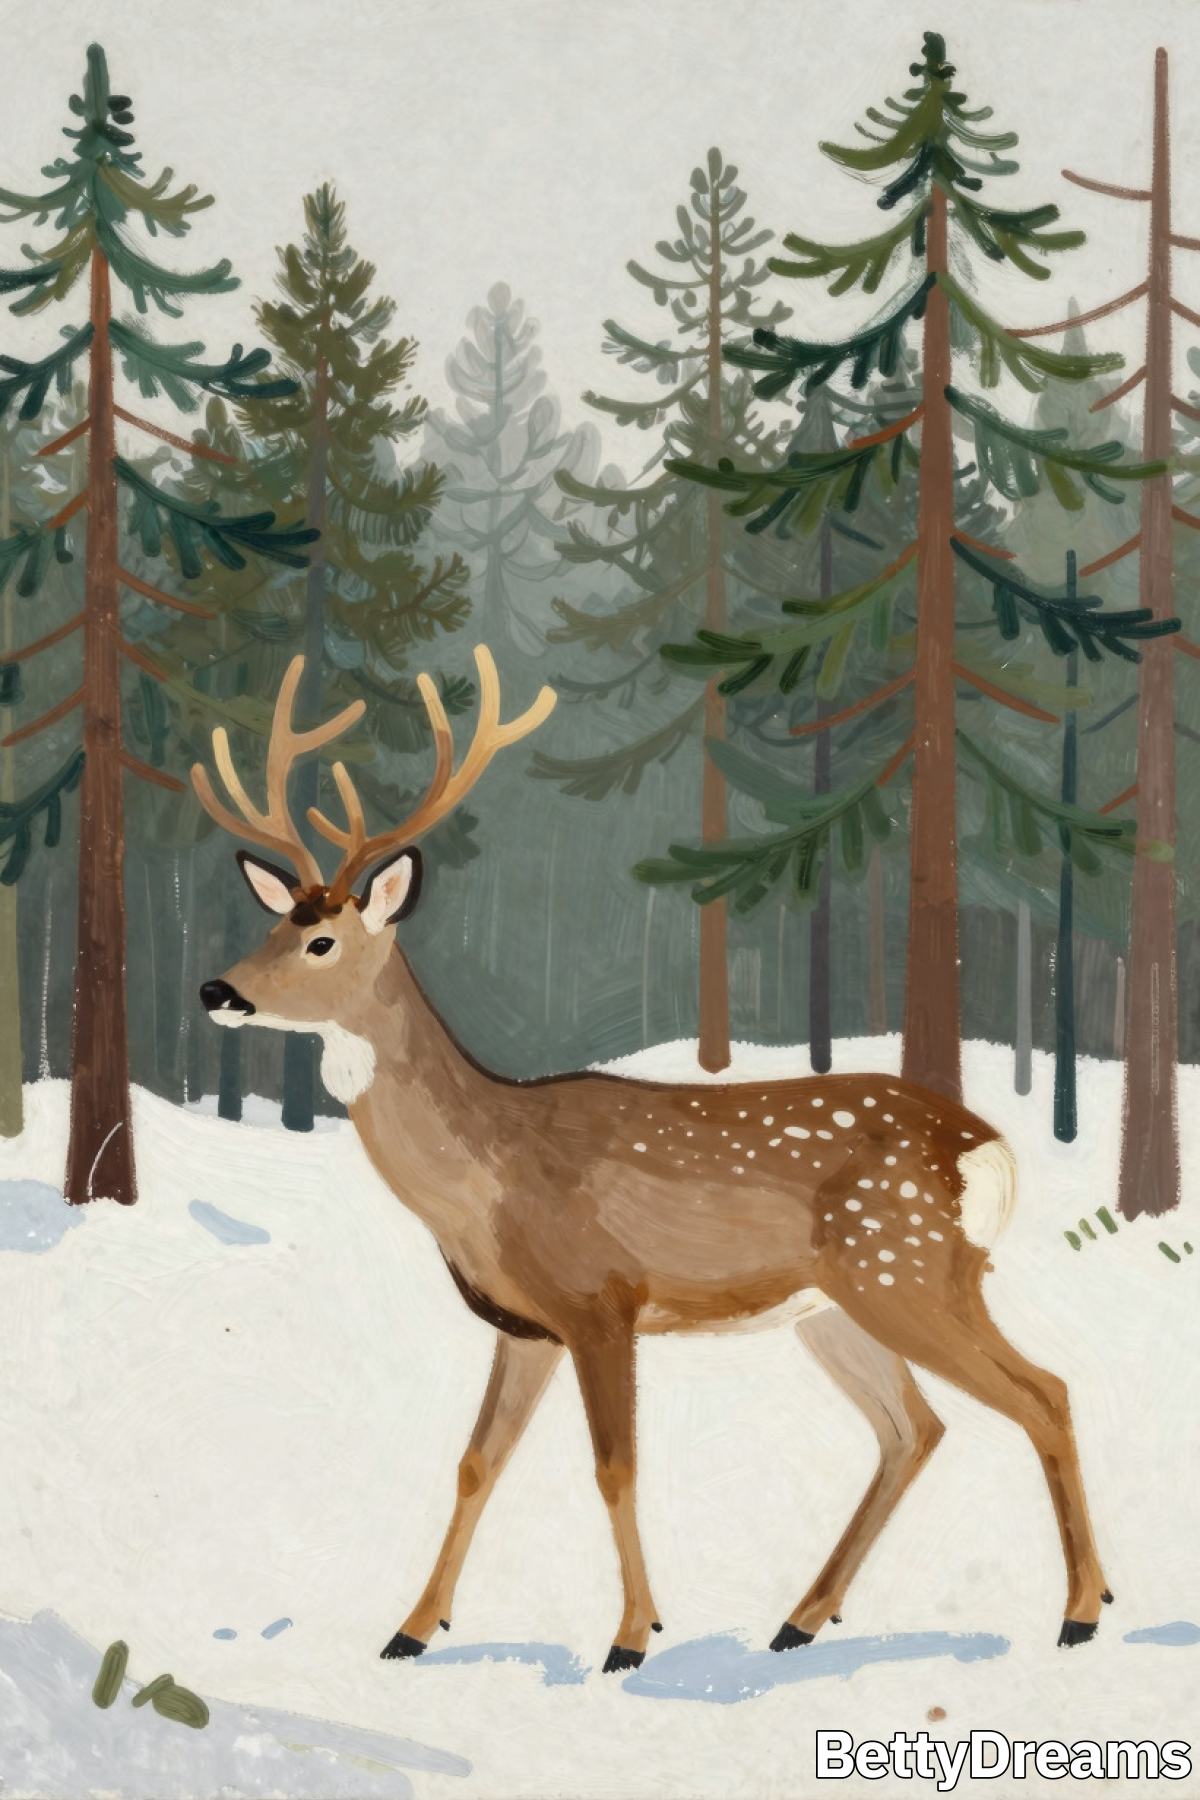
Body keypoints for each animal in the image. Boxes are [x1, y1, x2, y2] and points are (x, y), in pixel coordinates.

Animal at [193, 647, 1111, 1675]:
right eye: (271, 926)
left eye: (320, 940)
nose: (217, 990)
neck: (486, 1180)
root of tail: (987, 1149)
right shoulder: (523, 1325)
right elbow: (476, 1463)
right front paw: (411, 1629)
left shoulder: (601, 1301)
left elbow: (614, 1466)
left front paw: (631, 1637)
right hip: (840, 1305)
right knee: (914, 1427)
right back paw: (800, 1619)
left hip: (908, 1268)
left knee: (1044, 1393)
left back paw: (1080, 1612)